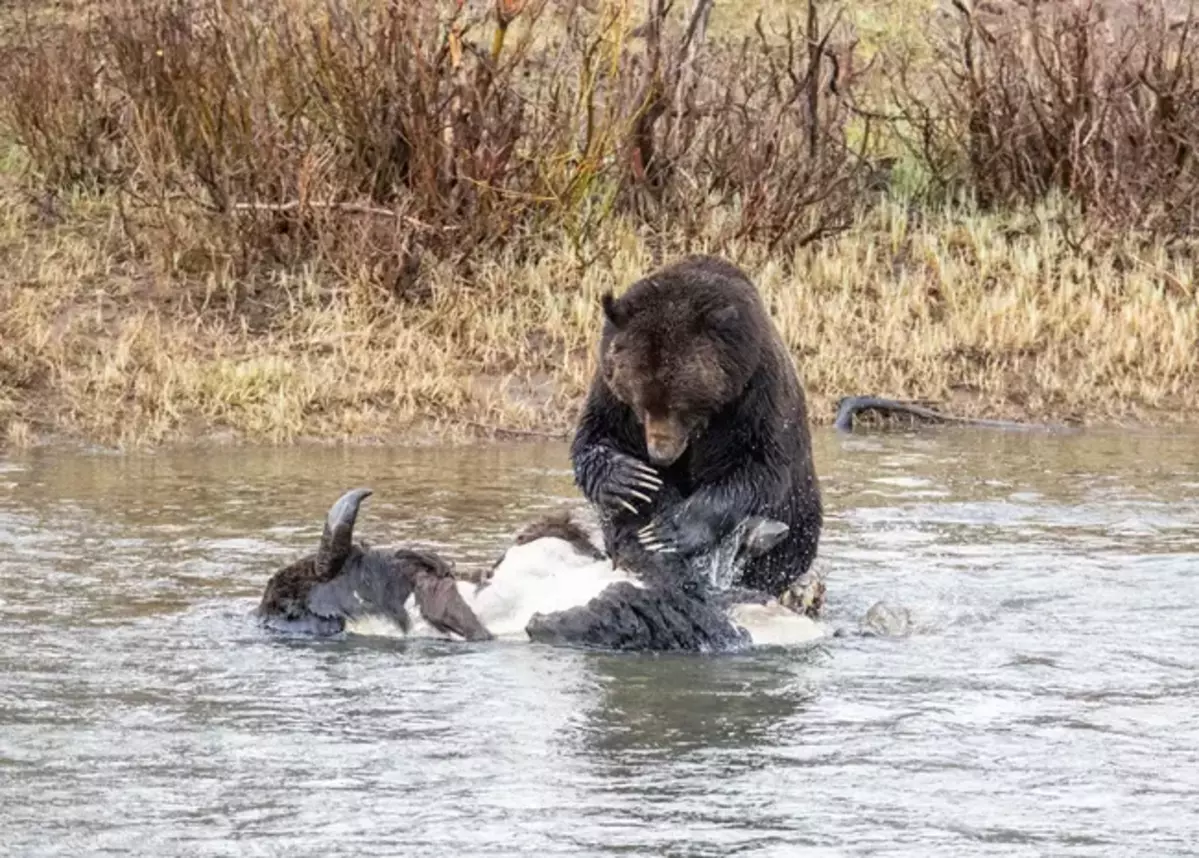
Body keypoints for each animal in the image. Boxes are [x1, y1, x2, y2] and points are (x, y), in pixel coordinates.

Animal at [569, 254, 823, 599]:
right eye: (640, 404)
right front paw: (631, 480)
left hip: (802, 512)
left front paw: (669, 530)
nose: (660, 455)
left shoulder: (754, 393)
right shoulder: (609, 392)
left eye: (680, 407)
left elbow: (758, 468)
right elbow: (597, 437)